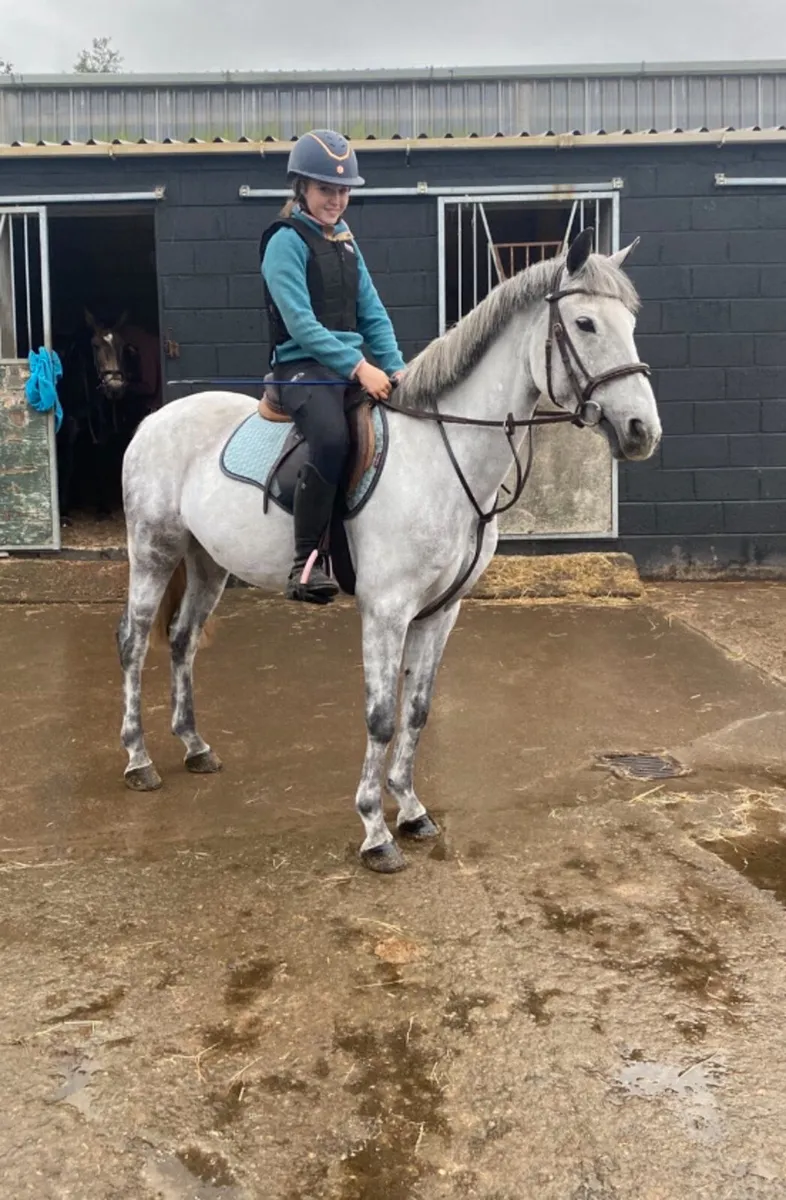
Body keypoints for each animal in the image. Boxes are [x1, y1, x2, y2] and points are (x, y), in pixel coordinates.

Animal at [117, 230, 662, 873]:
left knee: (181, 639)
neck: (442, 456)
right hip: (153, 551)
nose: (643, 431)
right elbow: (380, 717)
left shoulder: (440, 612)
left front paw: (412, 810)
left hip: (207, 564)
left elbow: (417, 709)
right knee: (133, 644)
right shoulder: (386, 611)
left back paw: (195, 746)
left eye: (631, 322)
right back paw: (138, 760)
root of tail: (153, 420)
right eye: (584, 323)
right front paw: (375, 831)